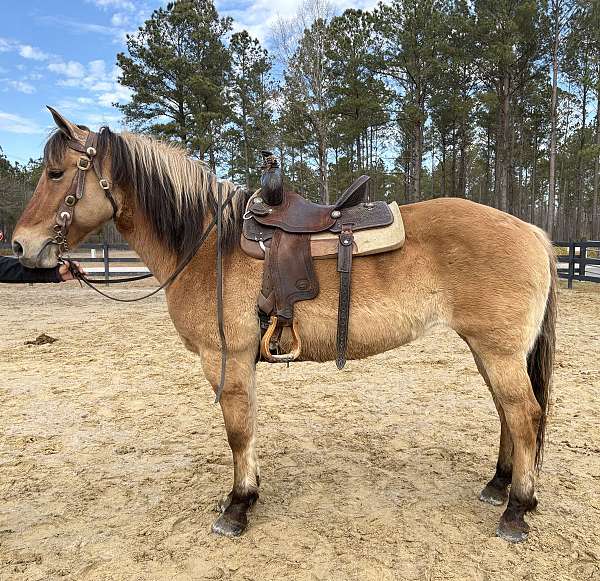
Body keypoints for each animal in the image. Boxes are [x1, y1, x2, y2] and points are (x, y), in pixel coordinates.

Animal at [11, 109, 556, 544]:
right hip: (488, 350)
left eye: (56, 172)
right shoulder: (241, 362)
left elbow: (237, 431)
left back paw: (517, 510)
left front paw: (236, 507)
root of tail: (532, 230)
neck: (207, 245)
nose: (20, 246)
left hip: (498, 352)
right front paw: (247, 496)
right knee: (508, 414)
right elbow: (247, 428)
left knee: (524, 416)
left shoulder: (225, 359)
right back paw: (499, 486)